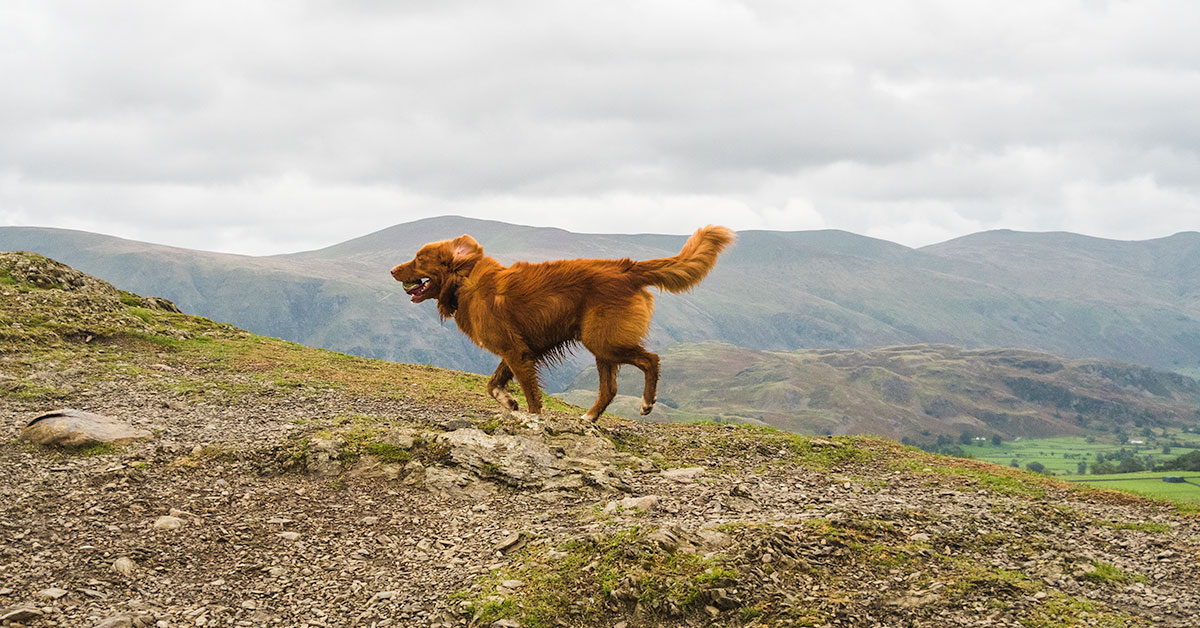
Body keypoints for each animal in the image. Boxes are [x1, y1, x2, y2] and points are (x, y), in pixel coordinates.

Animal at [393, 225, 729, 422]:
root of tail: (627, 268)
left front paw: (531, 417)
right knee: (610, 389)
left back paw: (646, 403)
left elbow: (531, 395)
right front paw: (508, 401)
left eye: (420, 259)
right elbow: (493, 384)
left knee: (651, 359)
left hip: (603, 340)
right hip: (600, 346)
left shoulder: (516, 352)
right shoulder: (516, 349)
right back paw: (589, 419)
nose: (393, 270)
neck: (464, 282)